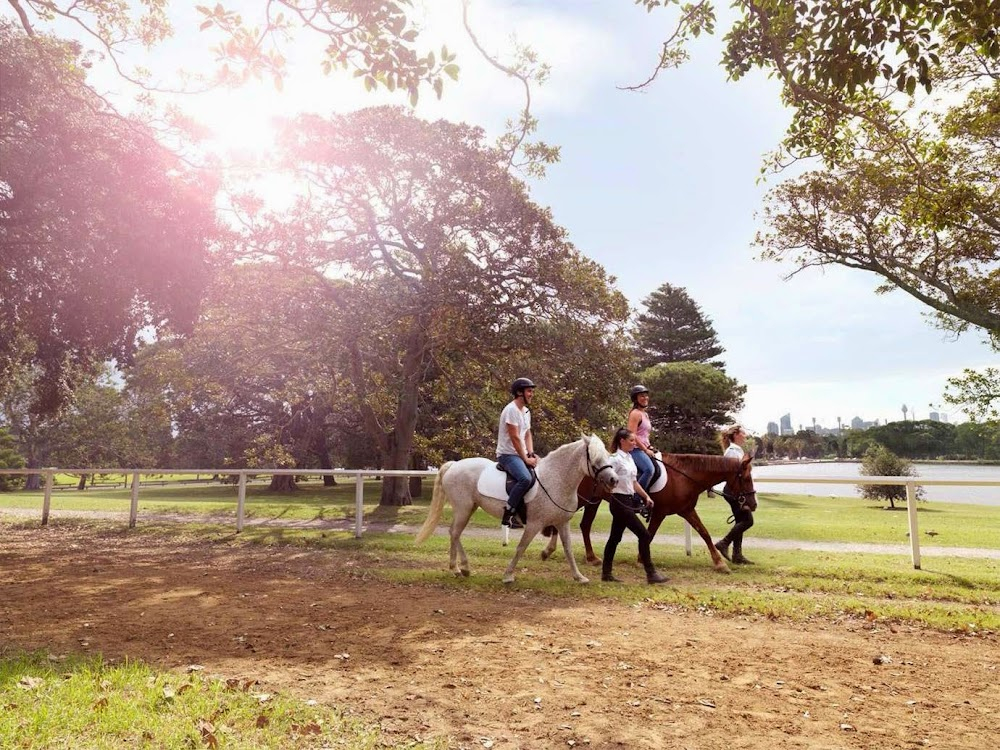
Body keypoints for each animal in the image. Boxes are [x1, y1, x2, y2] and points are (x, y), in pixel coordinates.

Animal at [414, 434, 616, 588]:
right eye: (596, 458)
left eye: (607, 455)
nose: (614, 480)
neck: (555, 479)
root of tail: (454, 465)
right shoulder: (534, 524)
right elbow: (521, 547)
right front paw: (508, 575)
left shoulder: (562, 523)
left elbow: (568, 549)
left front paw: (579, 577)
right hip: (464, 509)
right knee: (455, 533)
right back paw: (460, 568)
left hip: (468, 508)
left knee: (454, 533)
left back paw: (459, 568)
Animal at [544, 452, 752, 576]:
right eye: (746, 478)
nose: (752, 504)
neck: (683, 476)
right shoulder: (660, 512)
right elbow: (650, 535)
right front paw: (640, 559)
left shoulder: (686, 511)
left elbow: (705, 533)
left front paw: (719, 563)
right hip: (580, 499)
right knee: (560, 518)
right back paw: (549, 550)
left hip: (592, 501)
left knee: (584, 525)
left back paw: (591, 557)